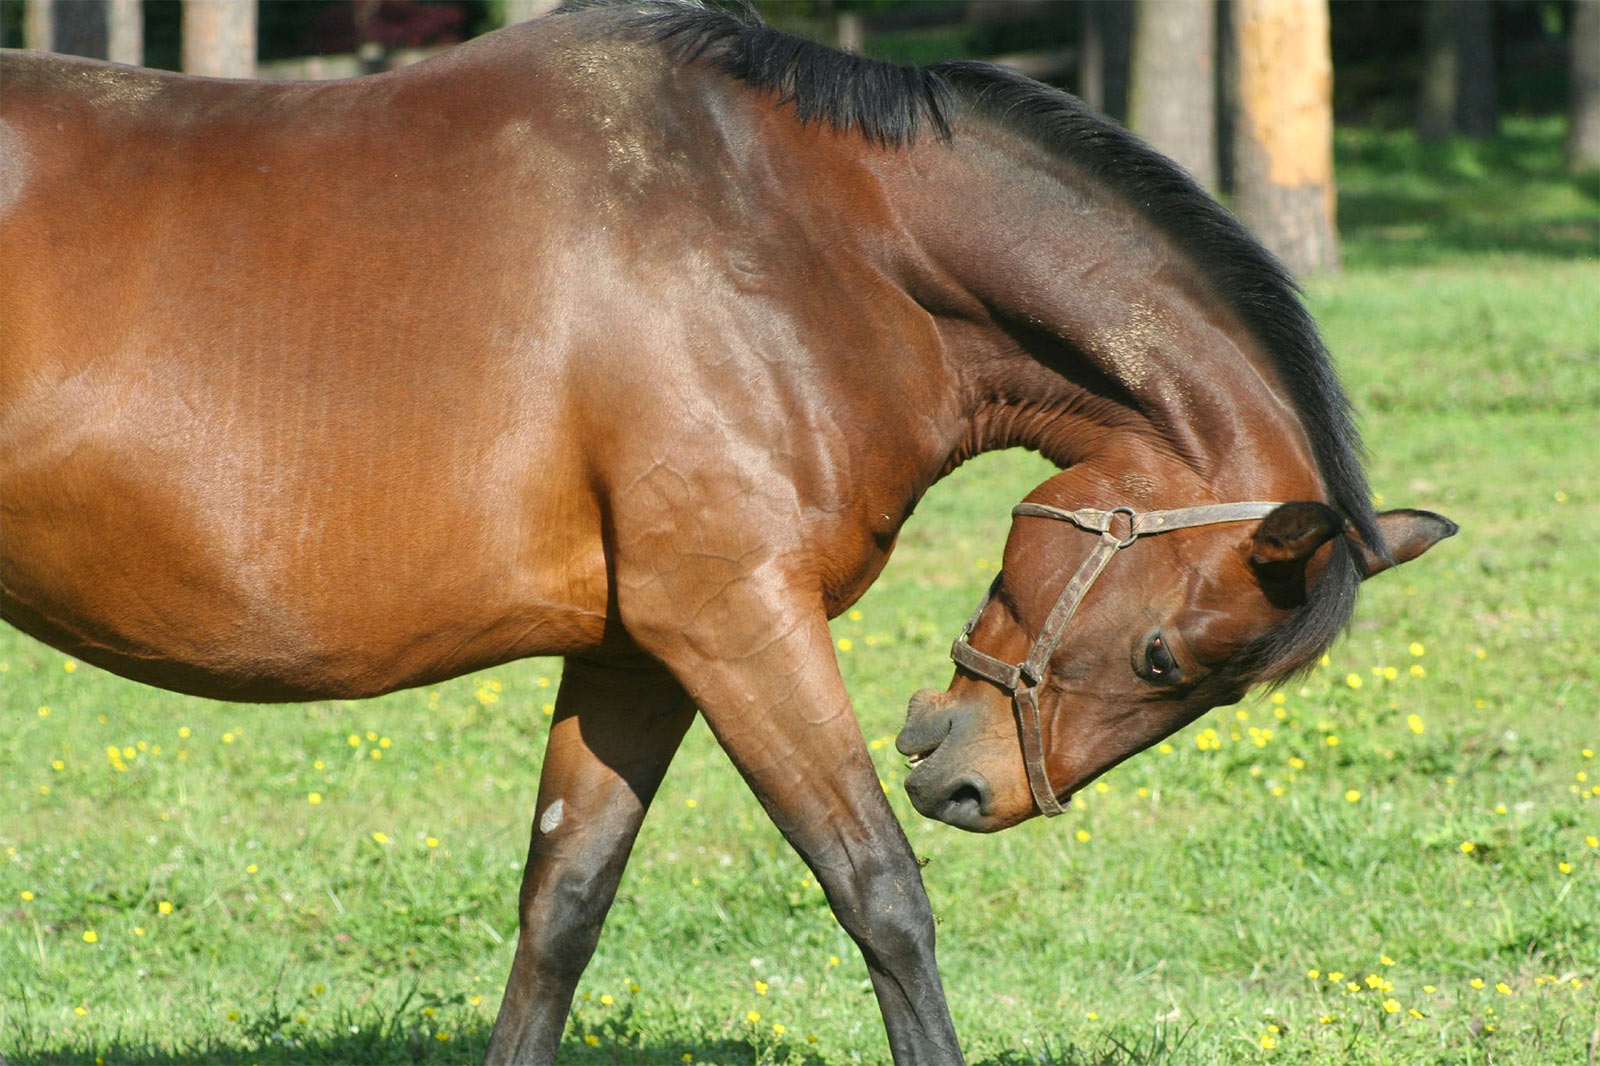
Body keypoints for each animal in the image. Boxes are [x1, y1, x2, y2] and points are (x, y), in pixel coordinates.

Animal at [0, 1, 1455, 1062]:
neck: (801, 242)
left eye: (1206, 687)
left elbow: (561, 906)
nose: (967, 781)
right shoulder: (734, 616)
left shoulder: (634, 654)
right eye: (1167, 658)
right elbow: (881, 893)